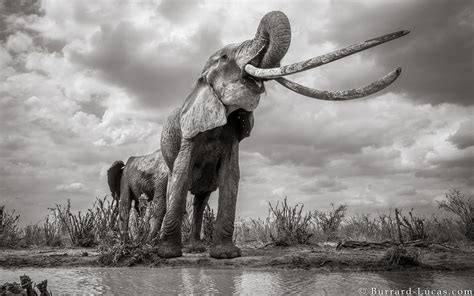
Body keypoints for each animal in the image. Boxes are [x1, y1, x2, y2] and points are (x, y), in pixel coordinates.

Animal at [117, 10, 408, 258]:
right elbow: (181, 174)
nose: (405, 32)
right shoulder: (189, 130)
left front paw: (226, 255)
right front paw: (167, 254)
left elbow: (231, 175)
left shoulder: (233, 133)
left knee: (201, 199)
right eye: (225, 57)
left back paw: (196, 248)